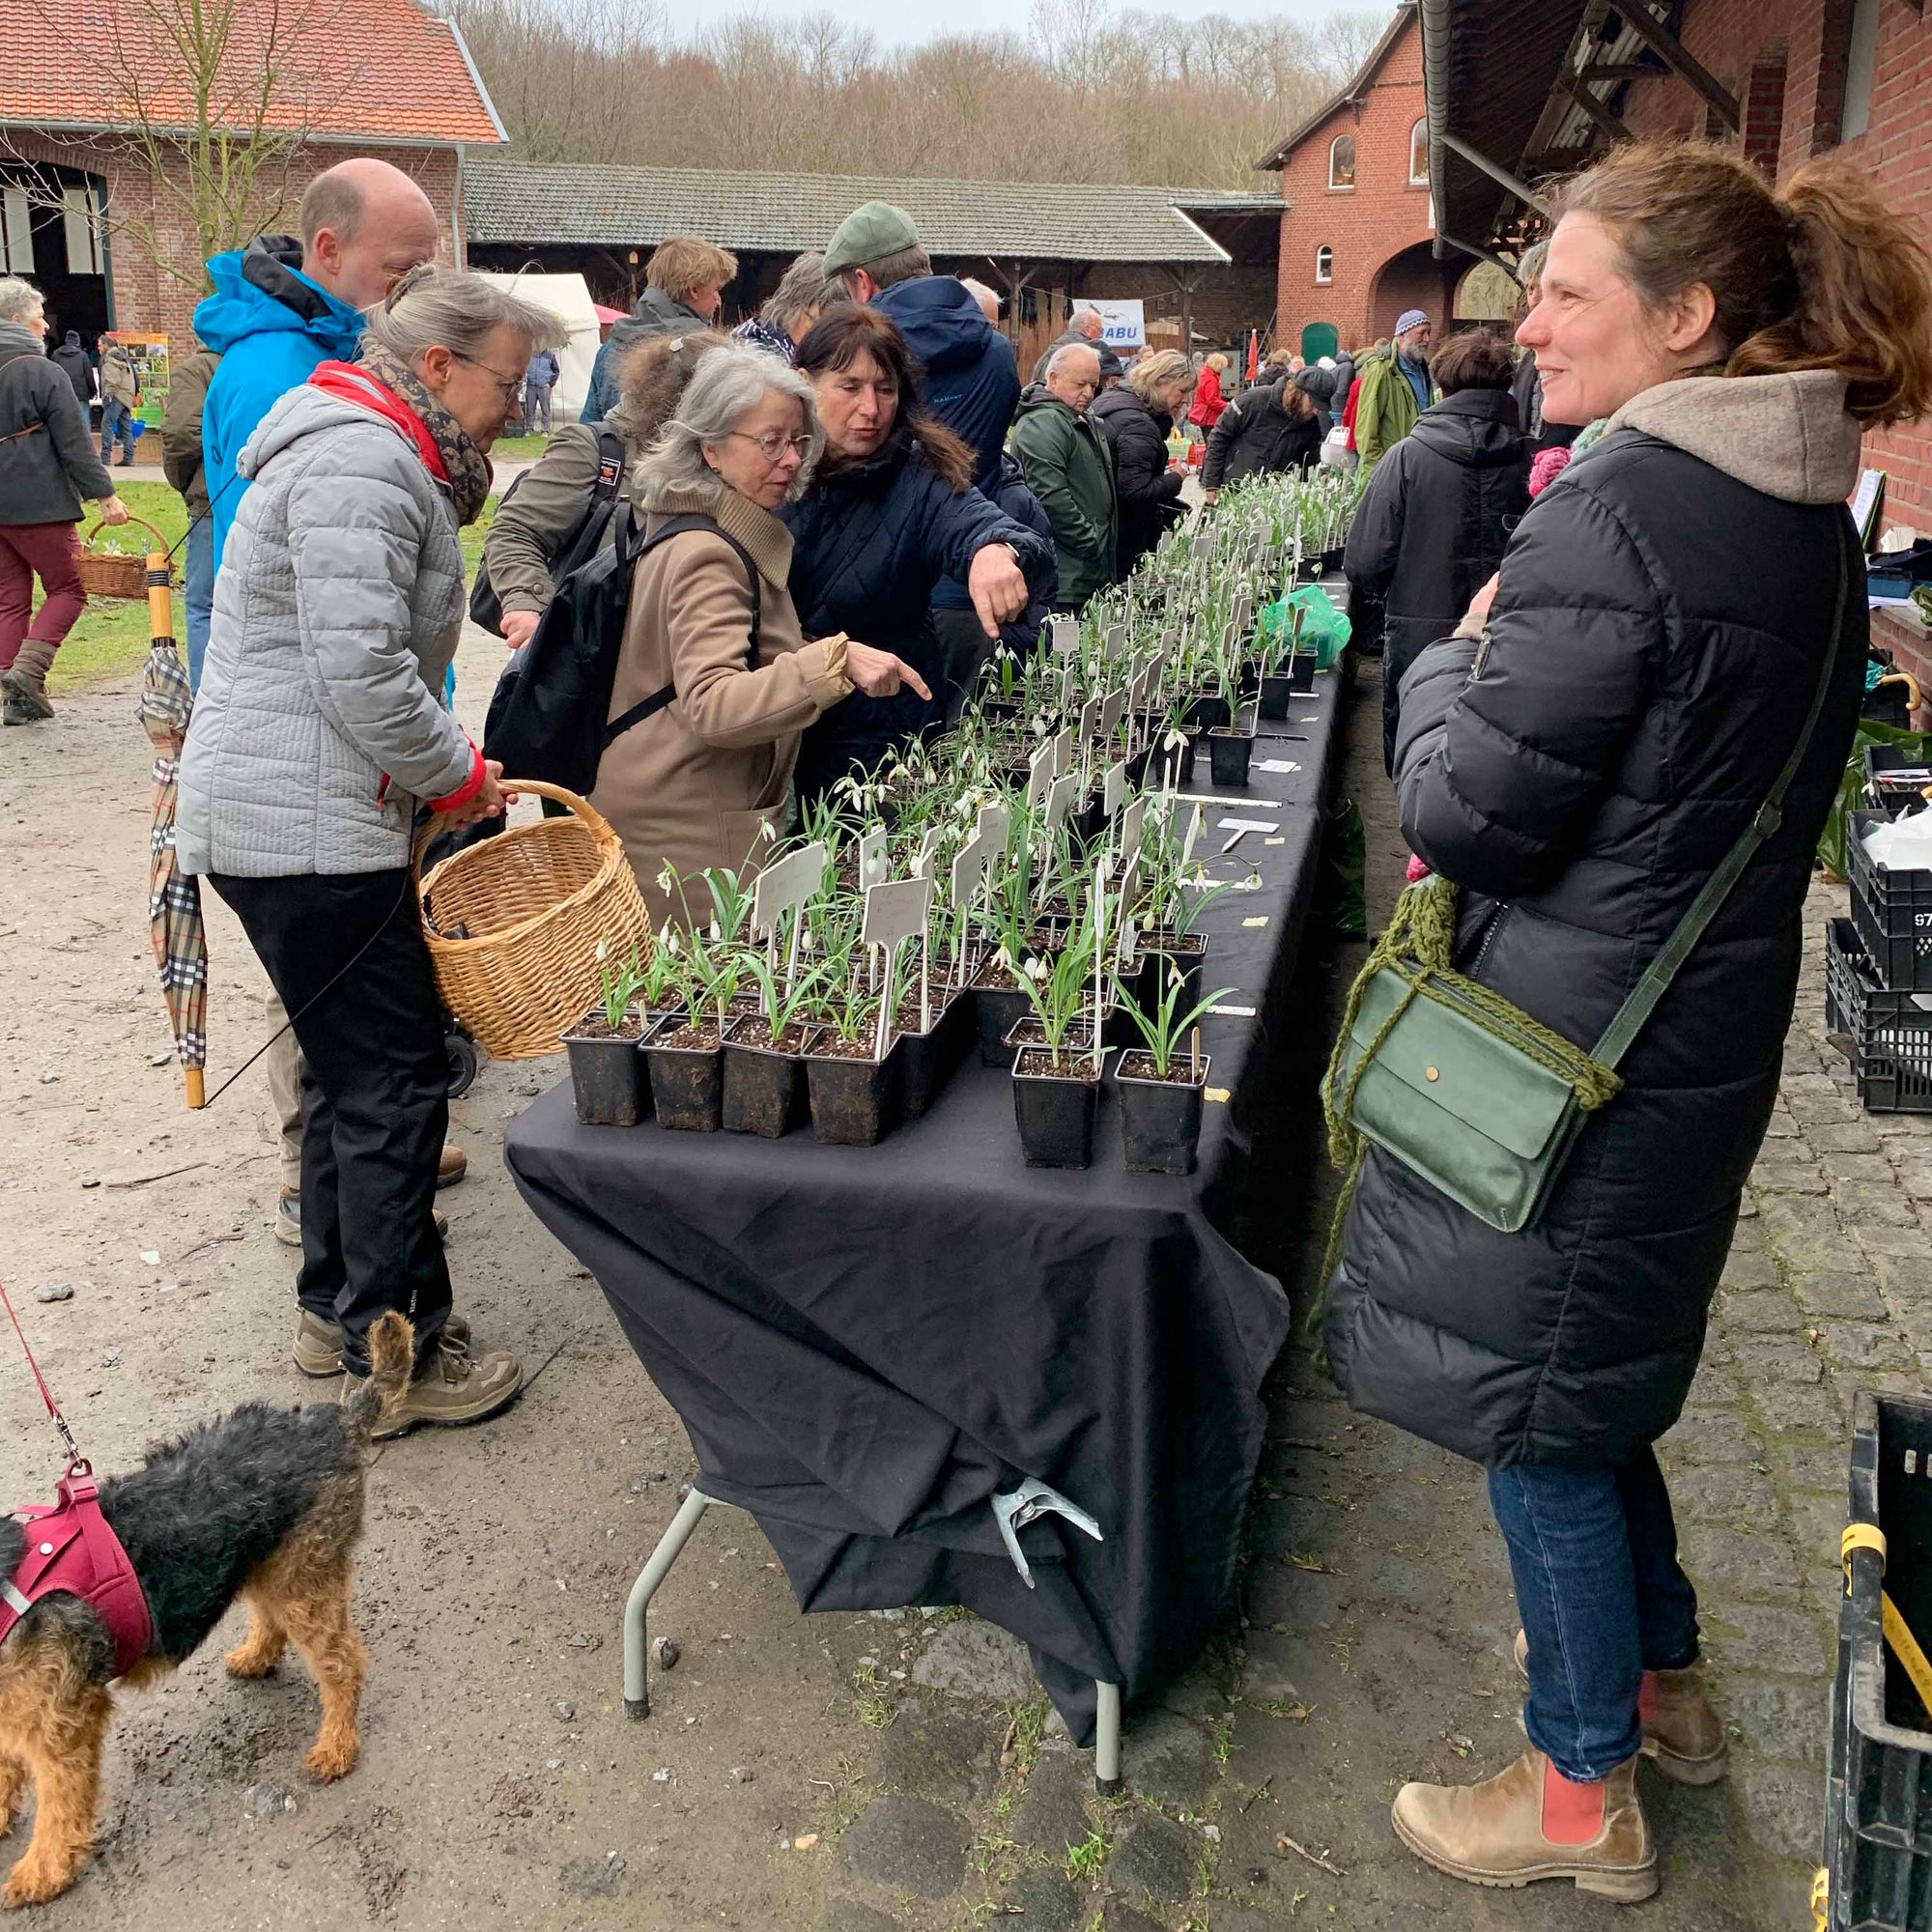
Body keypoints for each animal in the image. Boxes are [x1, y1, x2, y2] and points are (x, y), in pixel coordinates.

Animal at [0, 1306, 412, 1909]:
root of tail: (332, 1421)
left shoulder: (62, 1725)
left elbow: (59, 1808)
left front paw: (40, 1872)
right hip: (270, 1564)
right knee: (274, 1622)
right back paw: (256, 1656)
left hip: (304, 1578)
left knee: (342, 1665)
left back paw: (336, 1747)